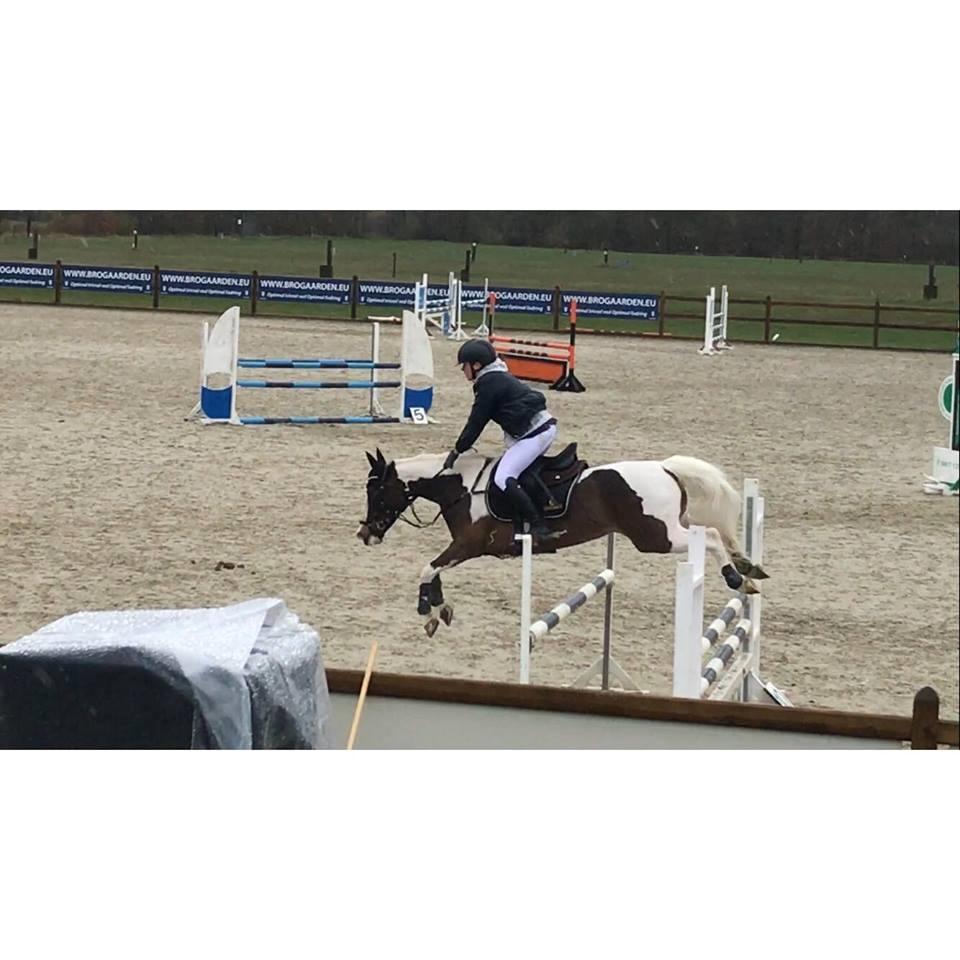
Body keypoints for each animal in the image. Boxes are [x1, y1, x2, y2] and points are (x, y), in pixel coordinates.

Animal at [356, 447, 768, 637]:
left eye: (376, 492)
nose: (366, 534)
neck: (462, 488)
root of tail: (665, 467)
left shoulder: (470, 545)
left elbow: (427, 568)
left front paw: (427, 612)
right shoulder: (464, 550)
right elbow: (434, 571)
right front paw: (440, 610)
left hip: (656, 536)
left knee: (710, 536)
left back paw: (738, 577)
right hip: (668, 528)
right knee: (712, 531)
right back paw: (747, 567)